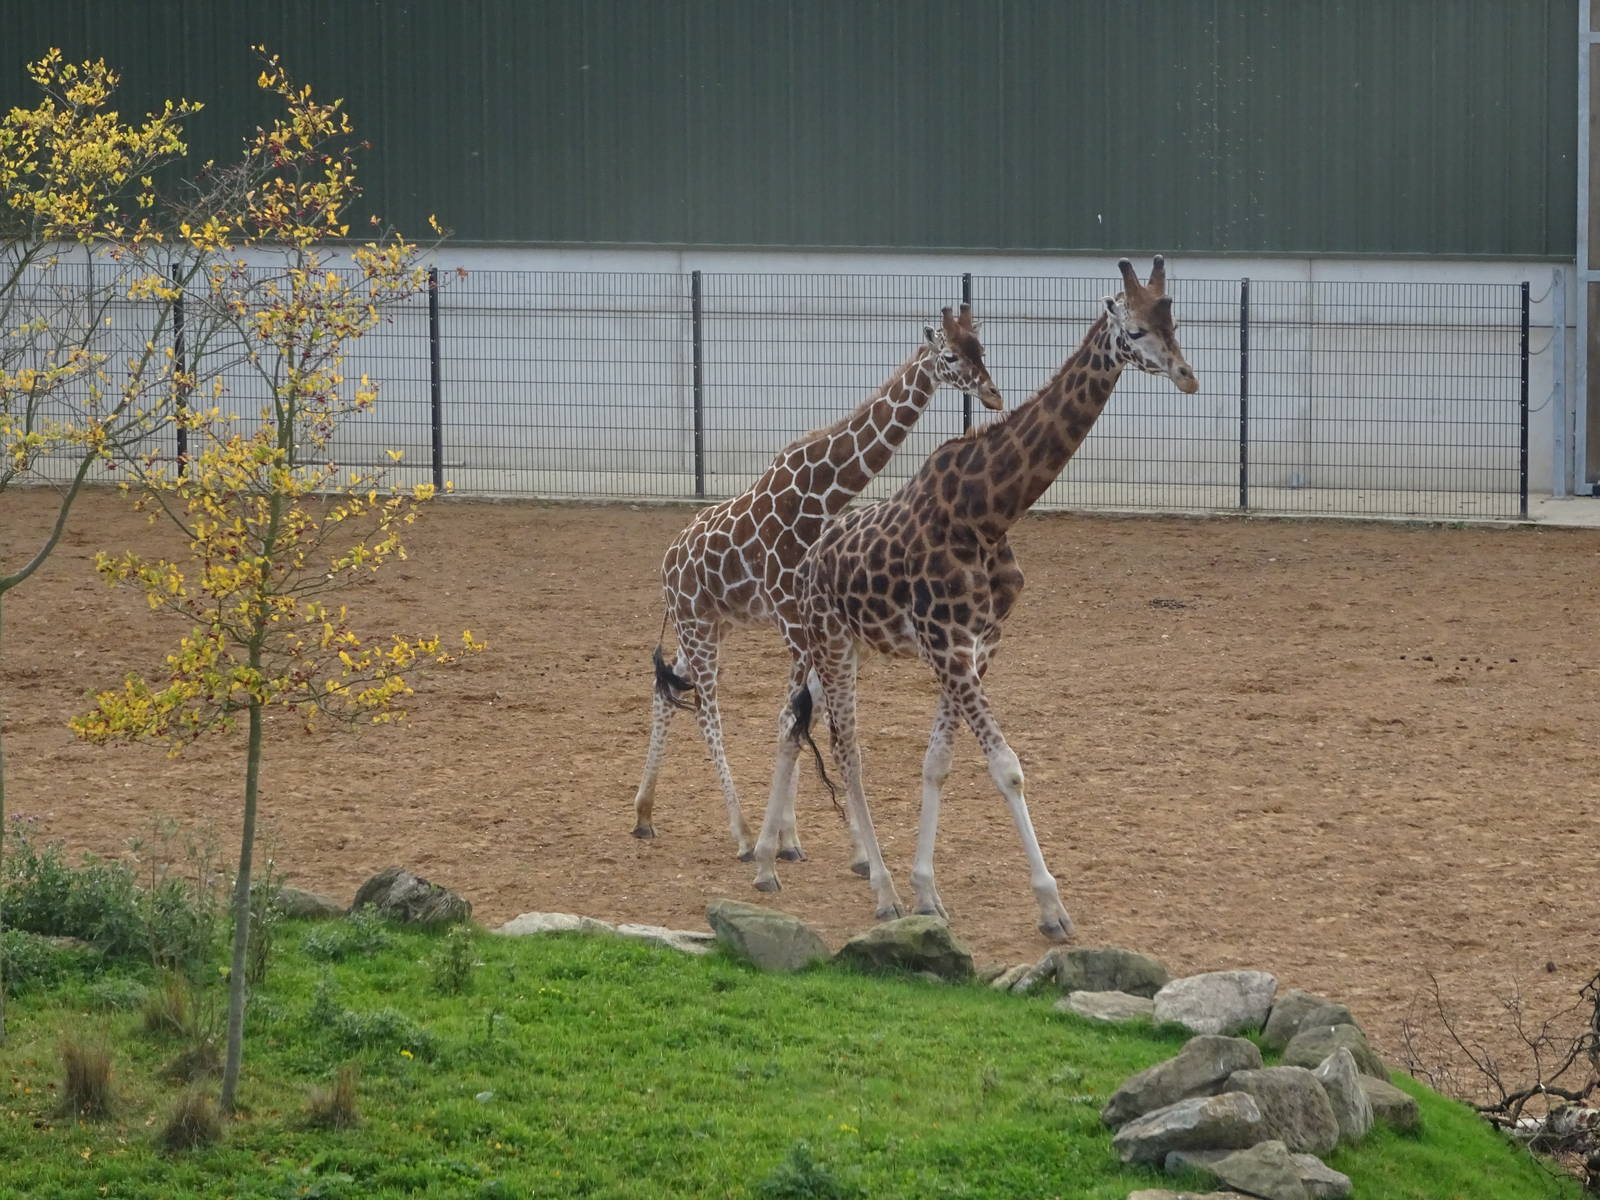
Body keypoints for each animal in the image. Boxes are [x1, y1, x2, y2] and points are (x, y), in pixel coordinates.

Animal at [631, 305, 1003, 861]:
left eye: (982, 348)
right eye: (952, 356)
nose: (994, 395)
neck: (820, 494)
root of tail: (666, 564)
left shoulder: (811, 623)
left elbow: (807, 714)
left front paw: (802, 839)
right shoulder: (793, 623)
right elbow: (798, 717)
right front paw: (804, 841)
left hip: (709, 624)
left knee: (666, 690)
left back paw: (644, 814)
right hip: (697, 626)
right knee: (705, 709)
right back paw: (741, 833)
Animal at [751, 257, 1197, 941]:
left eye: (1175, 322)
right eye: (1136, 328)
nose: (1188, 377)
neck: (988, 511)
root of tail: (808, 562)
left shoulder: (978, 646)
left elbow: (938, 762)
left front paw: (928, 894)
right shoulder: (947, 647)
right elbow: (1006, 766)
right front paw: (1051, 908)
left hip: (849, 647)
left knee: (799, 723)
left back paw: (771, 864)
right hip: (825, 641)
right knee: (845, 751)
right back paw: (875, 890)